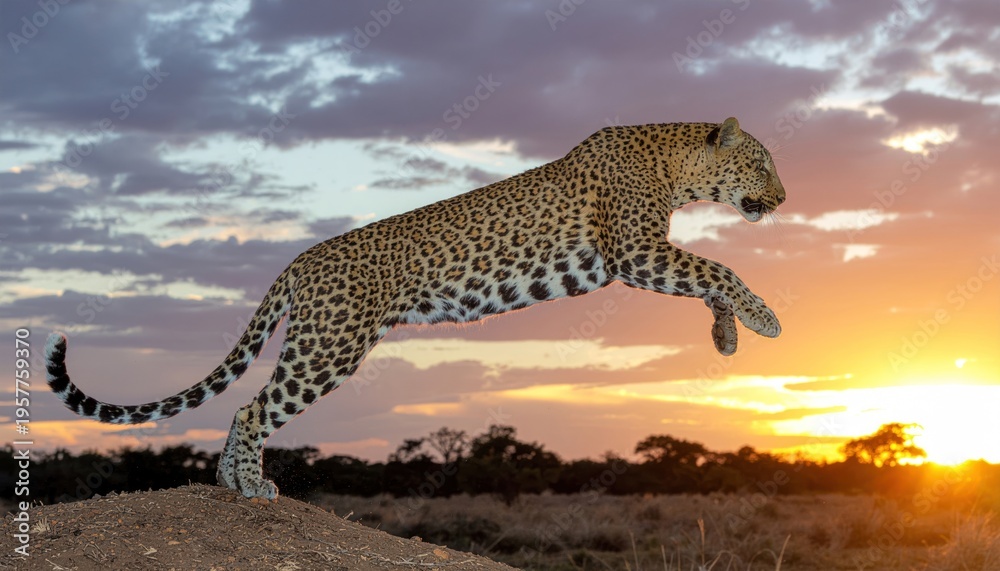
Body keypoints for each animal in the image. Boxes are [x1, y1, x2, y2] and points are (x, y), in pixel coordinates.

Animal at [45, 117, 786, 500]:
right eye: (763, 164)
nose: (782, 199)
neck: (676, 165)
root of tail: (300, 258)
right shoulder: (636, 250)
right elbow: (718, 267)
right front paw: (766, 319)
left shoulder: (645, 255)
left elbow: (709, 278)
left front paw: (727, 336)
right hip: (329, 344)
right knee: (257, 406)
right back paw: (252, 486)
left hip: (316, 341)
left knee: (243, 403)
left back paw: (229, 482)